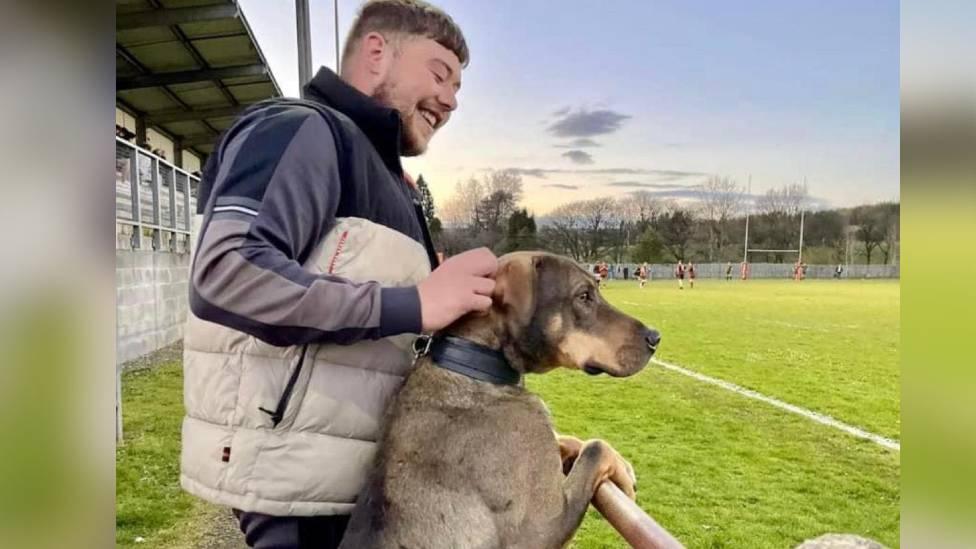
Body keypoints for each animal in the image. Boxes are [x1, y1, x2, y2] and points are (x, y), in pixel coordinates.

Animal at [338, 250, 664, 544]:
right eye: (583, 296)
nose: (655, 337)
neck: (477, 367)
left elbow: (572, 442)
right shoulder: (540, 529)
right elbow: (595, 448)